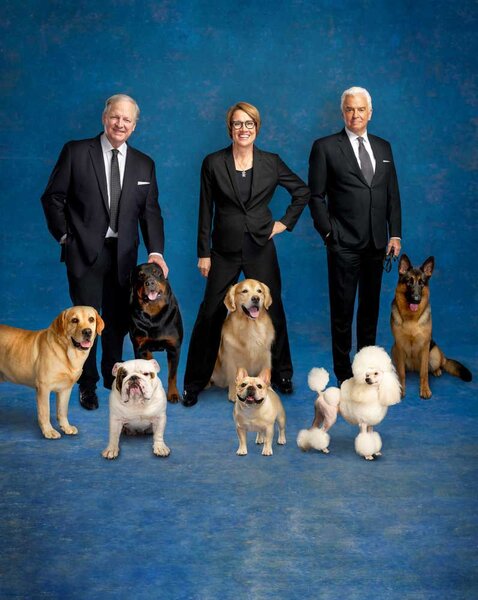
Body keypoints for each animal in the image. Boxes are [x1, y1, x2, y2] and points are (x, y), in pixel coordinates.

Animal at [0, 308, 103, 438]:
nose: (87, 331)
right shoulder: (43, 388)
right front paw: (48, 431)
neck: (66, 353)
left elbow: (62, 410)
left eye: (91, 319)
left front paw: (66, 427)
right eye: (74, 320)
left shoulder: (65, 389)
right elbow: (45, 412)